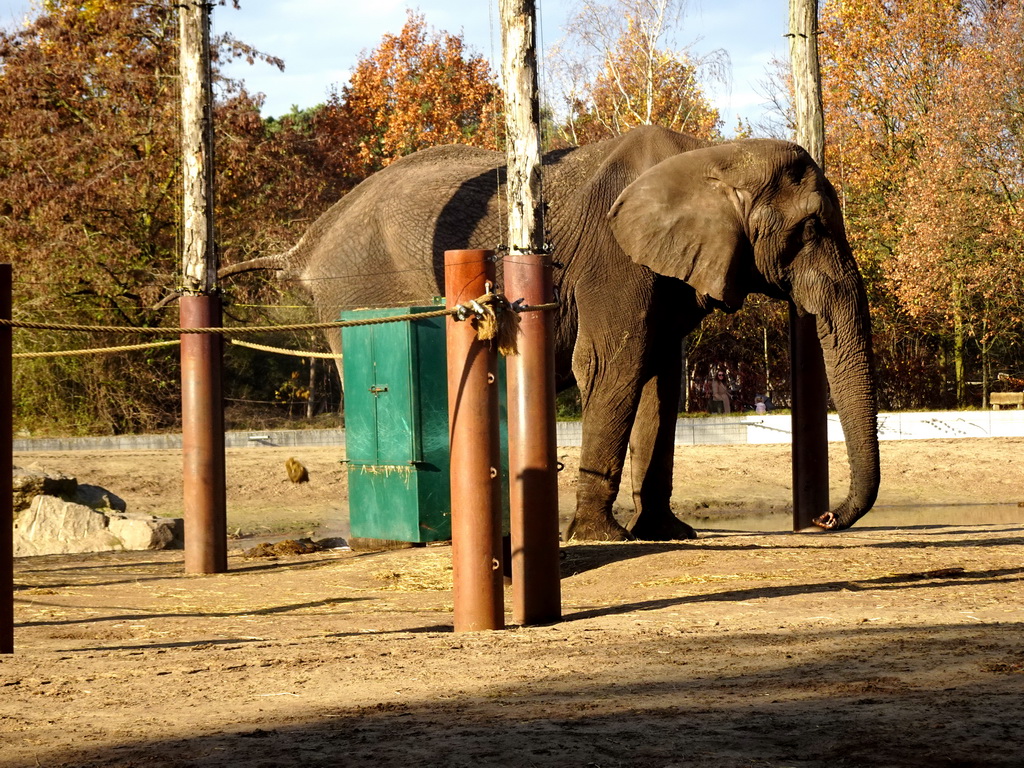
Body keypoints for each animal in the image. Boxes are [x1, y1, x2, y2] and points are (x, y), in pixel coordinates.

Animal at [230, 128, 880, 540]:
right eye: (812, 229)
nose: (824, 521)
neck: (710, 155)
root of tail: (308, 240)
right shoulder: (612, 259)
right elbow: (615, 365)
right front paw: (601, 537)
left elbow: (660, 380)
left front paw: (668, 533)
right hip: (361, 293)